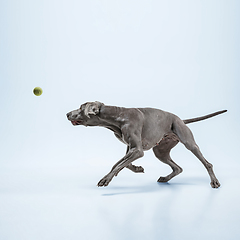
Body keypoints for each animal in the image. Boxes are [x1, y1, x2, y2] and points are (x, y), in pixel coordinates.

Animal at [66, 101, 227, 188]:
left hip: (188, 142)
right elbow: (123, 163)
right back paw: (165, 178)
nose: (67, 114)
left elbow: (118, 164)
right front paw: (137, 168)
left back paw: (214, 182)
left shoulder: (138, 150)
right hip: (160, 151)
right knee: (178, 168)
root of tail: (181, 119)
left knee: (207, 163)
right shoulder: (132, 148)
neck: (117, 116)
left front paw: (106, 179)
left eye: (80, 107)